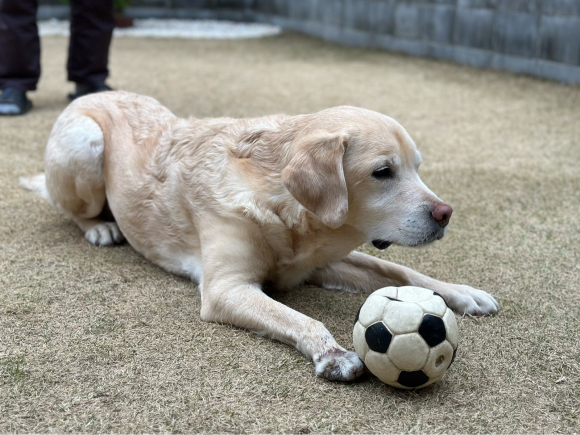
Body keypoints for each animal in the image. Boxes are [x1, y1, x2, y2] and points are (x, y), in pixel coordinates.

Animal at [20, 91, 496, 382]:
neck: (283, 208)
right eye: (383, 172)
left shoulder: (323, 261)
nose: (445, 213)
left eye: (417, 167)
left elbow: (400, 271)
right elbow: (300, 318)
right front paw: (333, 353)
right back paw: (101, 226)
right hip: (85, 143)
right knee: (71, 208)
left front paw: (462, 292)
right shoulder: (226, 289)